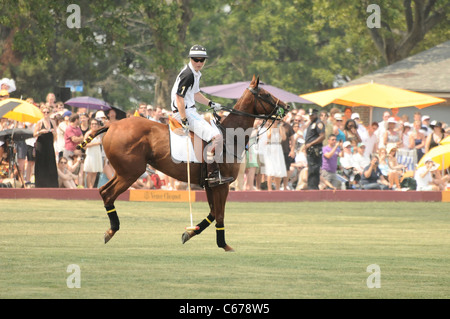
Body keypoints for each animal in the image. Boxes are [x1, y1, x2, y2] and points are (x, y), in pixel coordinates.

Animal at [79, 75, 288, 252]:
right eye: (265, 94)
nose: (286, 106)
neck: (230, 136)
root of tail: (111, 125)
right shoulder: (222, 184)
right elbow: (219, 214)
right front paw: (224, 245)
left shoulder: (209, 185)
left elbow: (213, 213)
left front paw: (189, 232)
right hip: (131, 172)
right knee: (108, 193)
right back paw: (111, 230)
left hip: (122, 171)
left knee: (103, 190)